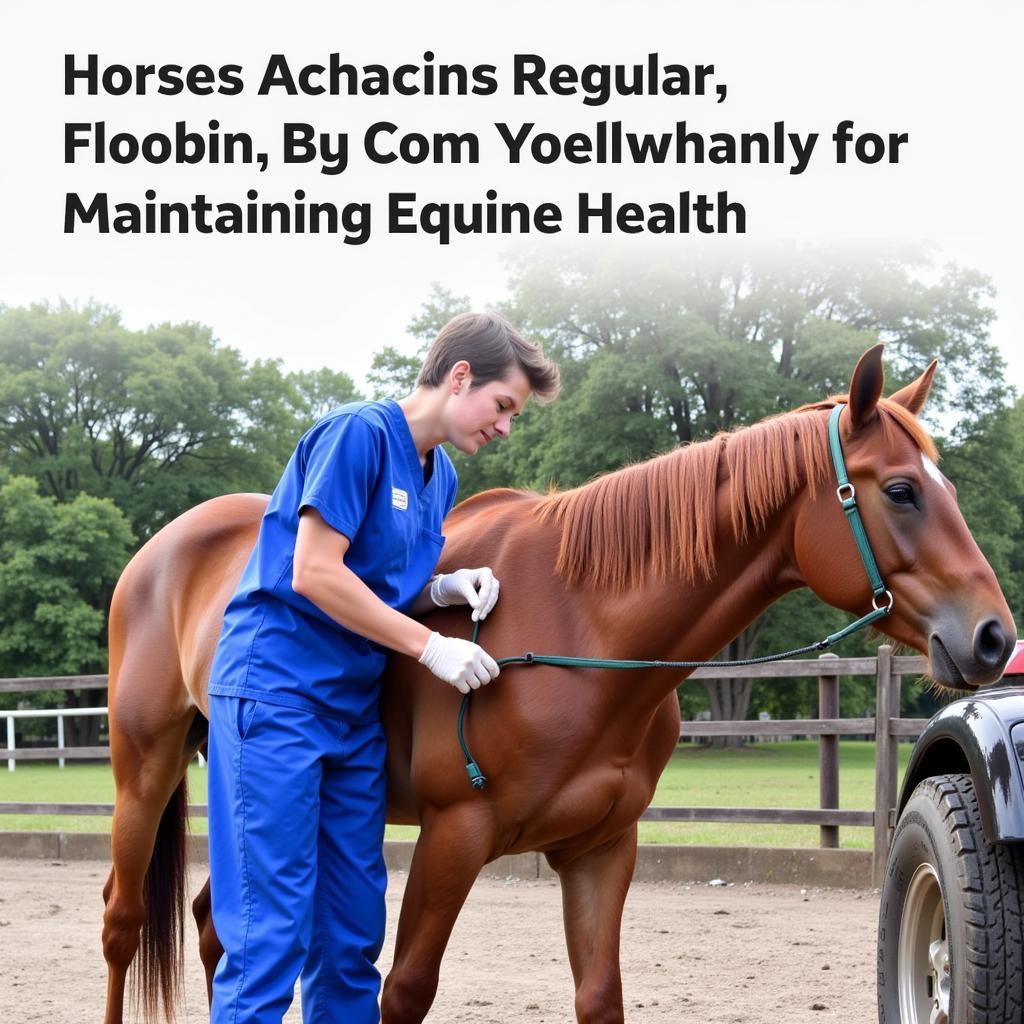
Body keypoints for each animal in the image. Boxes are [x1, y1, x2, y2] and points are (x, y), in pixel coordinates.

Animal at [101, 348, 1015, 1019]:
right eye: (900, 490)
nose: (994, 636)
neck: (583, 629)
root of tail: (163, 549)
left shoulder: (600, 849)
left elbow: (600, 995)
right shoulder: (454, 837)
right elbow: (404, 991)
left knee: (217, 930)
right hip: (147, 774)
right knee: (125, 924)